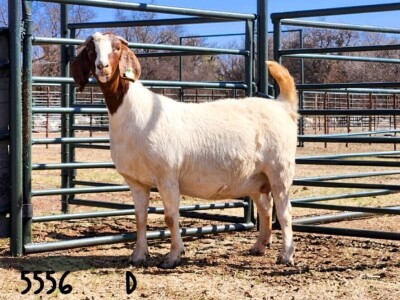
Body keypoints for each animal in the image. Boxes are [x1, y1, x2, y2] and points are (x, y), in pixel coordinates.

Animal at [71, 31, 296, 268]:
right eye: (90, 50)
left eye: (116, 48)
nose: (102, 67)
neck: (134, 113)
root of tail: (282, 106)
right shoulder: (137, 181)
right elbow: (140, 218)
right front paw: (138, 255)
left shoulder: (167, 176)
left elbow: (171, 217)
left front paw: (173, 256)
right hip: (256, 178)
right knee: (266, 207)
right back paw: (260, 246)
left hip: (280, 170)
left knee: (284, 211)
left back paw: (286, 255)